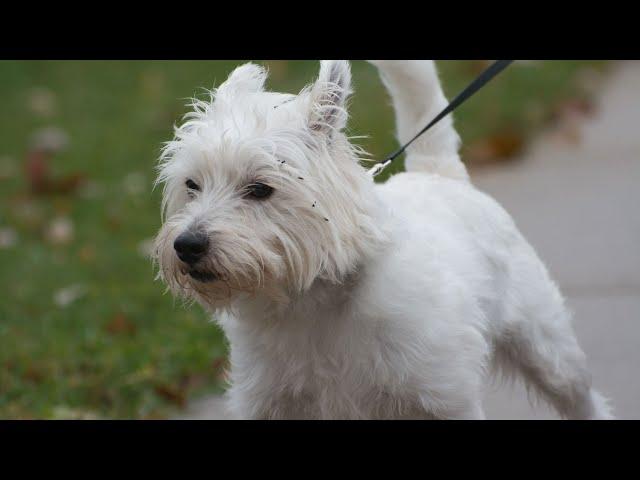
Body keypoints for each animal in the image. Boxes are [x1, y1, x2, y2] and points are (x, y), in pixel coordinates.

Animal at [152, 60, 612, 418]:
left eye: (260, 189)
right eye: (192, 185)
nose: (187, 246)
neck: (312, 303)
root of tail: (438, 173)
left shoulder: (443, 398)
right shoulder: (271, 401)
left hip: (548, 348)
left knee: (583, 398)